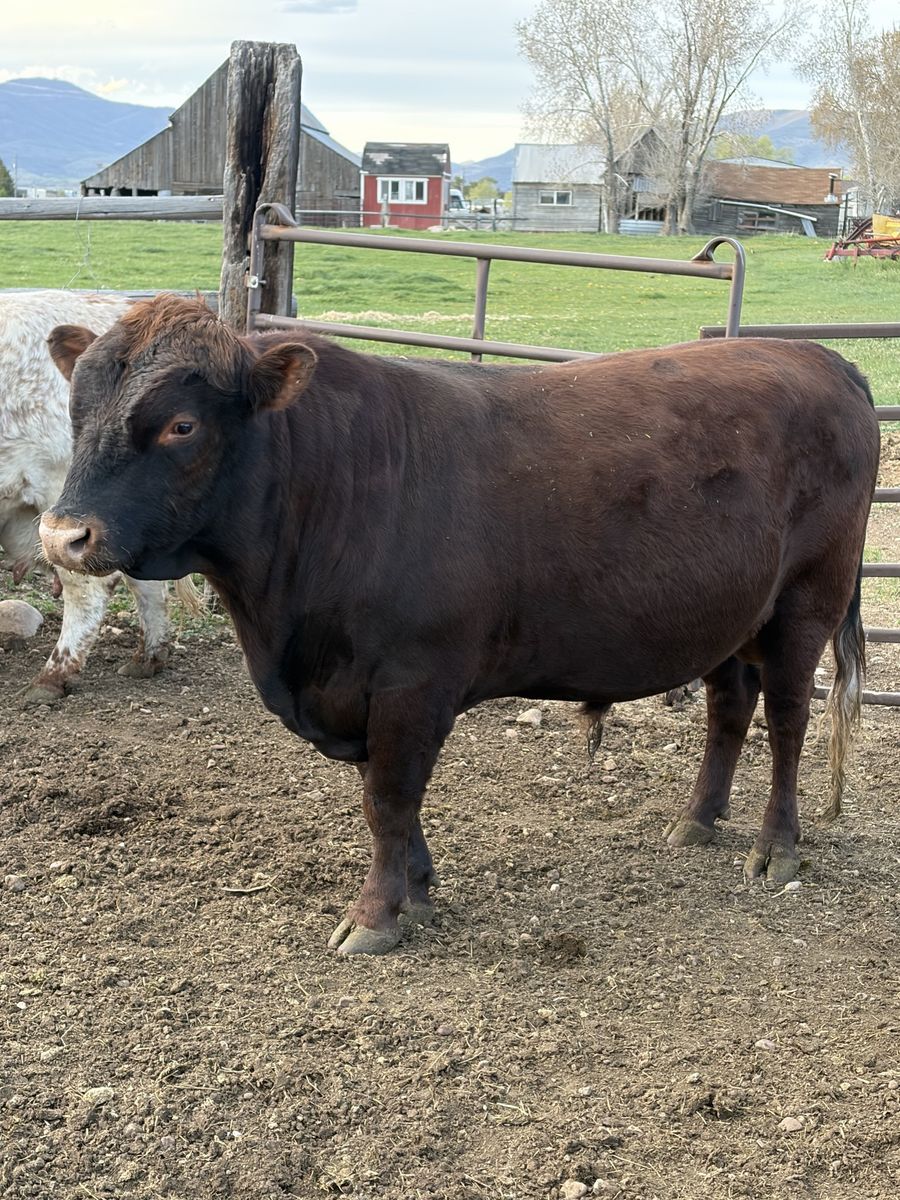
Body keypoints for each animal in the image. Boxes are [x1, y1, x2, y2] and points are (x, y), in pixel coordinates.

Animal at [40, 295, 880, 955]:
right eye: (77, 411)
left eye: (181, 425)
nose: (62, 536)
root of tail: (820, 356)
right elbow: (389, 798)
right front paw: (417, 884)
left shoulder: (412, 682)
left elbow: (388, 796)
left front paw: (376, 914)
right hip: (731, 611)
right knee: (729, 707)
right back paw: (697, 820)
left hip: (807, 600)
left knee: (789, 721)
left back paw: (776, 849)